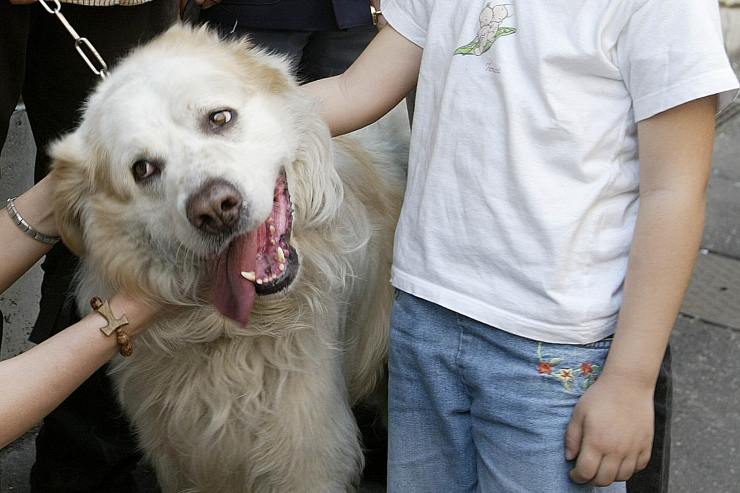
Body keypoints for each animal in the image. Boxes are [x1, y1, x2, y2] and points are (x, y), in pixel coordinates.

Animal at [49, 24, 408, 492]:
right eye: (142, 169)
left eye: (219, 118)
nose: (216, 209)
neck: (229, 339)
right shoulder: (184, 459)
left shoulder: (309, 455)